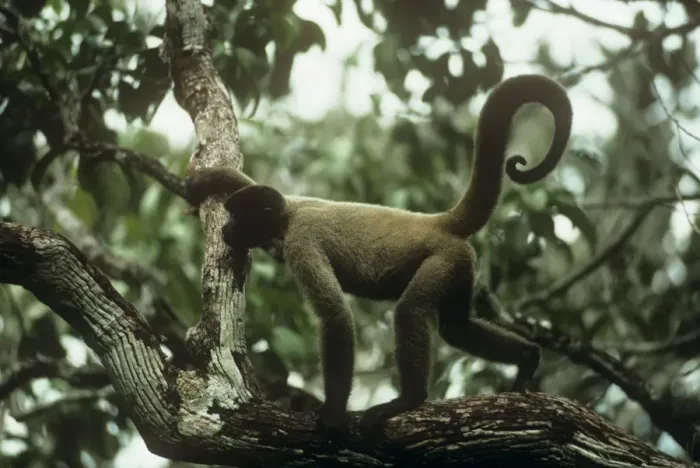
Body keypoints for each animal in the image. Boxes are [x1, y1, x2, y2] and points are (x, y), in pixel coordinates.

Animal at [184, 74, 573, 434]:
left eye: (237, 217)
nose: (225, 228)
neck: (287, 218)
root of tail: (440, 221)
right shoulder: (293, 204)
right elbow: (246, 182)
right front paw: (205, 181)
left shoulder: (300, 240)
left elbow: (336, 315)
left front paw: (333, 414)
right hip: (463, 263)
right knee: (456, 328)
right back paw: (527, 357)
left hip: (443, 260)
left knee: (411, 311)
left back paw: (409, 400)